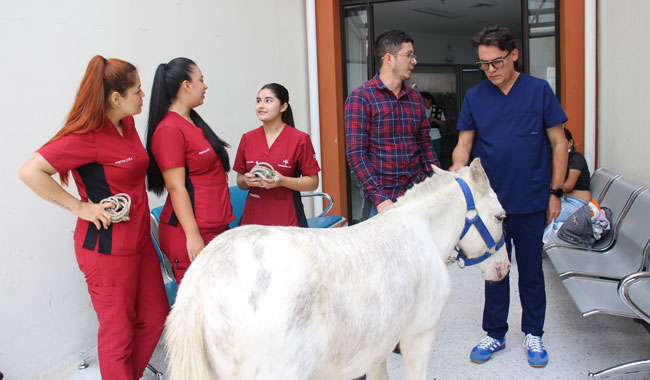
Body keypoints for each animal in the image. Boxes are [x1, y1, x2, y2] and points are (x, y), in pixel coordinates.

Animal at [162, 159, 506, 378]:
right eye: (501, 217)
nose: (502, 269)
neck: (423, 230)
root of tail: (202, 280)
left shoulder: (378, 345)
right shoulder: (418, 337)